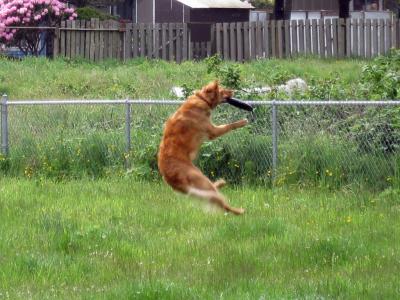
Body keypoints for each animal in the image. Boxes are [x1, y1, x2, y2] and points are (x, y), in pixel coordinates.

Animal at [157, 81, 247, 214]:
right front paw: (242, 122)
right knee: (222, 203)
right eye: (222, 90)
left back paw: (220, 183)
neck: (201, 99)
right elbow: (228, 126)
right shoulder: (212, 131)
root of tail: (169, 178)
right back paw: (238, 211)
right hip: (200, 178)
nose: (233, 91)